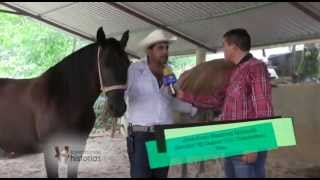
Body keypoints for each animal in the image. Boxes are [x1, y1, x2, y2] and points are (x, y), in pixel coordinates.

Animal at [0, 26, 131, 177]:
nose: (118, 108)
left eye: (127, 64)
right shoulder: (50, 148)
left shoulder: (78, 145)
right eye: (105, 64)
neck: (63, 99)